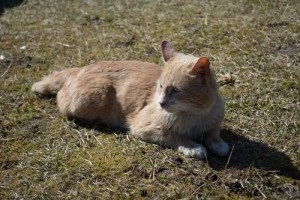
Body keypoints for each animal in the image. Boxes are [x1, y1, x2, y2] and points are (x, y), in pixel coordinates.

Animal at [31, 41, 229, 159]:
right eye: (160, 86)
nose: (161, 103)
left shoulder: (213, 123)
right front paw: (194, 147)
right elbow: (177, 137)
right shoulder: (144, 128)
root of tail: (81, 68)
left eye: (176, 91)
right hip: (90, 98)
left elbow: (213, 134)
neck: (195, 114)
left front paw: (219, 145)